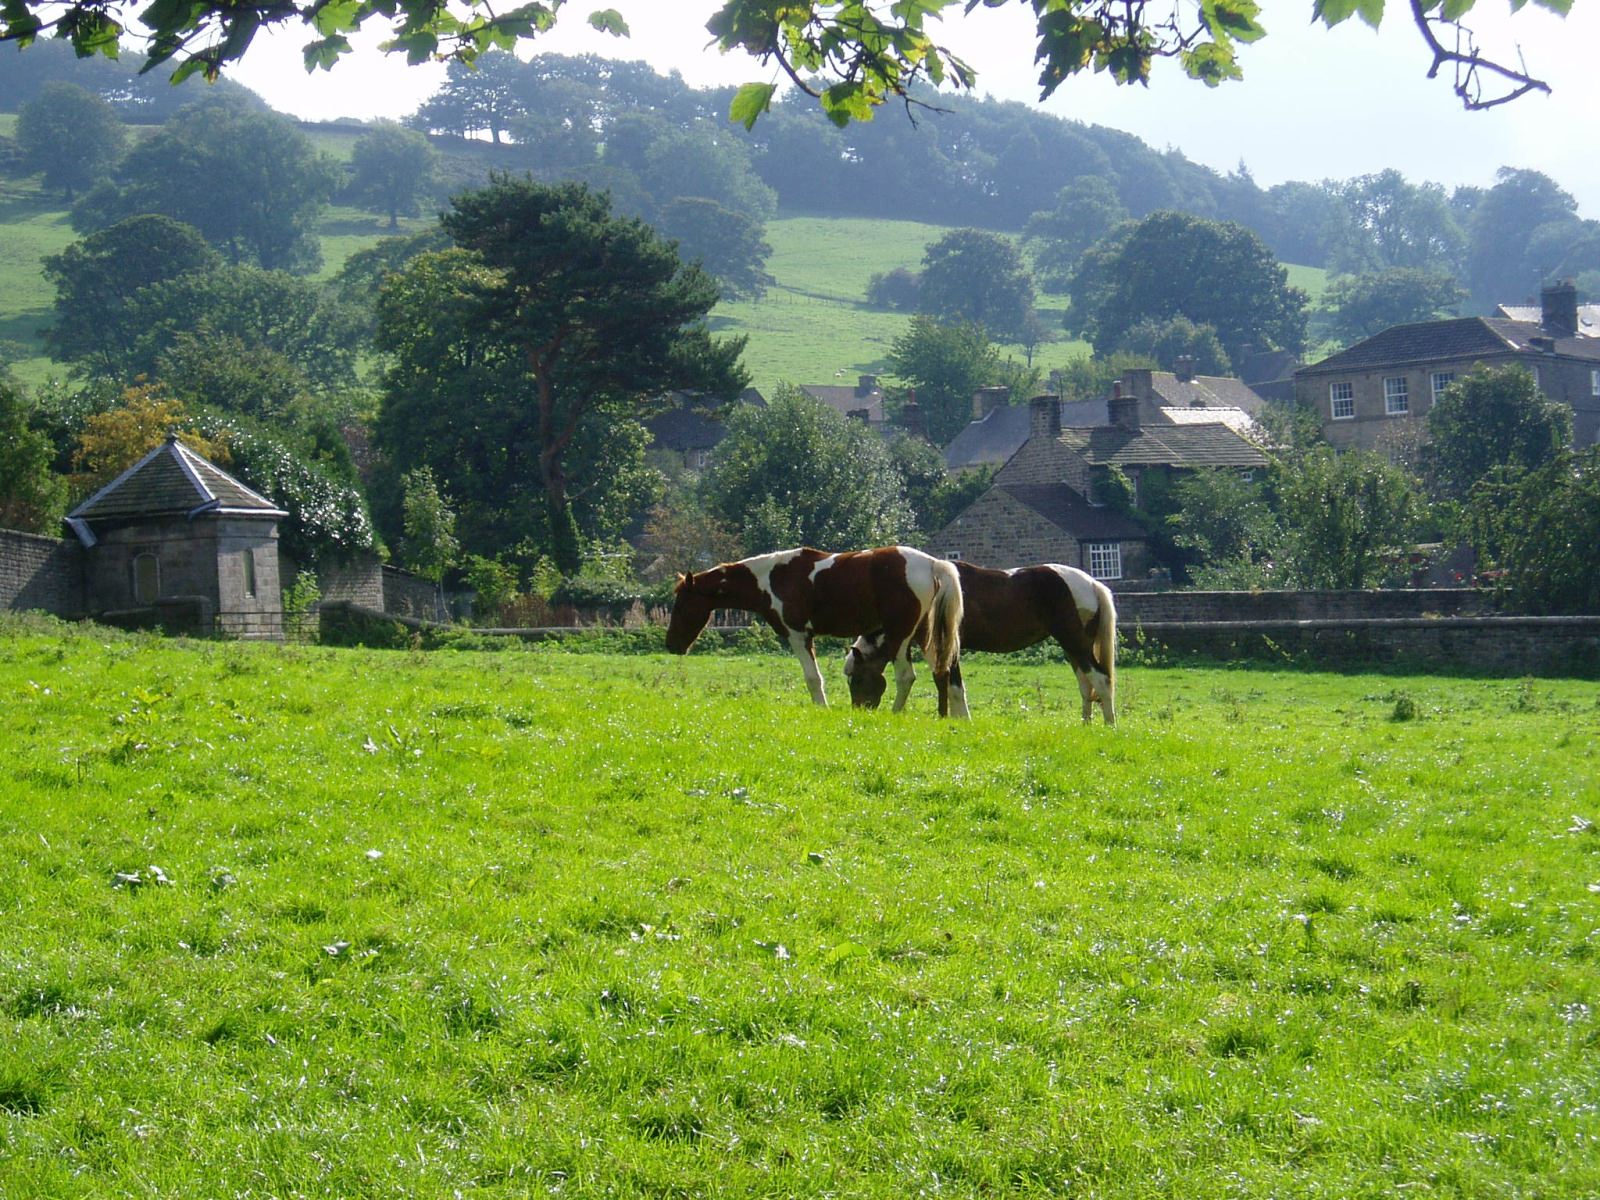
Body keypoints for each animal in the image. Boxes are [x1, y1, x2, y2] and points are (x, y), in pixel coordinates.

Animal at [659, 547, 966, 723]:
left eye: (682, 604)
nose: (671, 644)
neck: (772, 578)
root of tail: (932, 563)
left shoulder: (798, 635)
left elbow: (812, 678)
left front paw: (821, 708)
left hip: (900, 637)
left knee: (907, 677)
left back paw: (896, 714)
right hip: (925, 637)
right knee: (947, 675)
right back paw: (954, 718)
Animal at [844, 563, 1120, 723]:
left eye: (857, 679)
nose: (859, 709)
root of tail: (1092, 584)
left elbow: (952, 685)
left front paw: (960, 720)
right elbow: (948, 683)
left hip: (1074, 642)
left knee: (1101, 680)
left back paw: (1110, 724)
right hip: (1073, 648)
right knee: (1086, 685)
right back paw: (1086, 725)